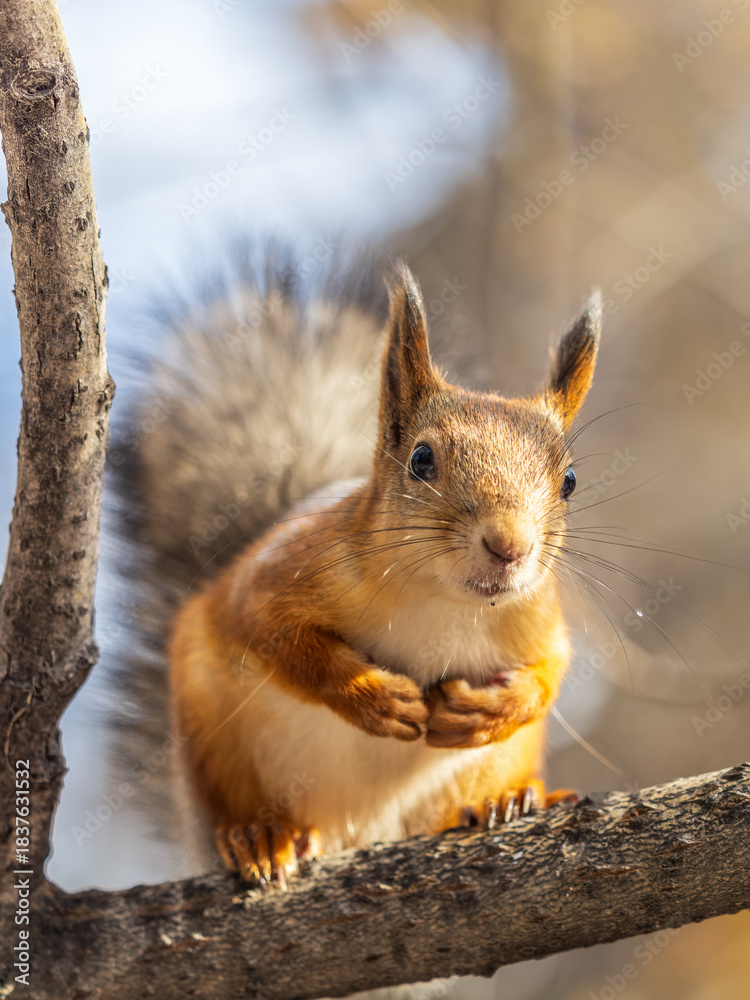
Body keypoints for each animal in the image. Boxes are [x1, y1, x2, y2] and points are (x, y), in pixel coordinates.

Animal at [111, 251, 601, 889]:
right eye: (421, 459)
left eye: (569, 480)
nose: (509, 546)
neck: (446, 602)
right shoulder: (280, 575)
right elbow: (277, 636)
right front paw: (374, 697)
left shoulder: (538, 615)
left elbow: (552, 670)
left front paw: (493, 710)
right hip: (217, 746)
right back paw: (258, 837)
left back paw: (507, 801)